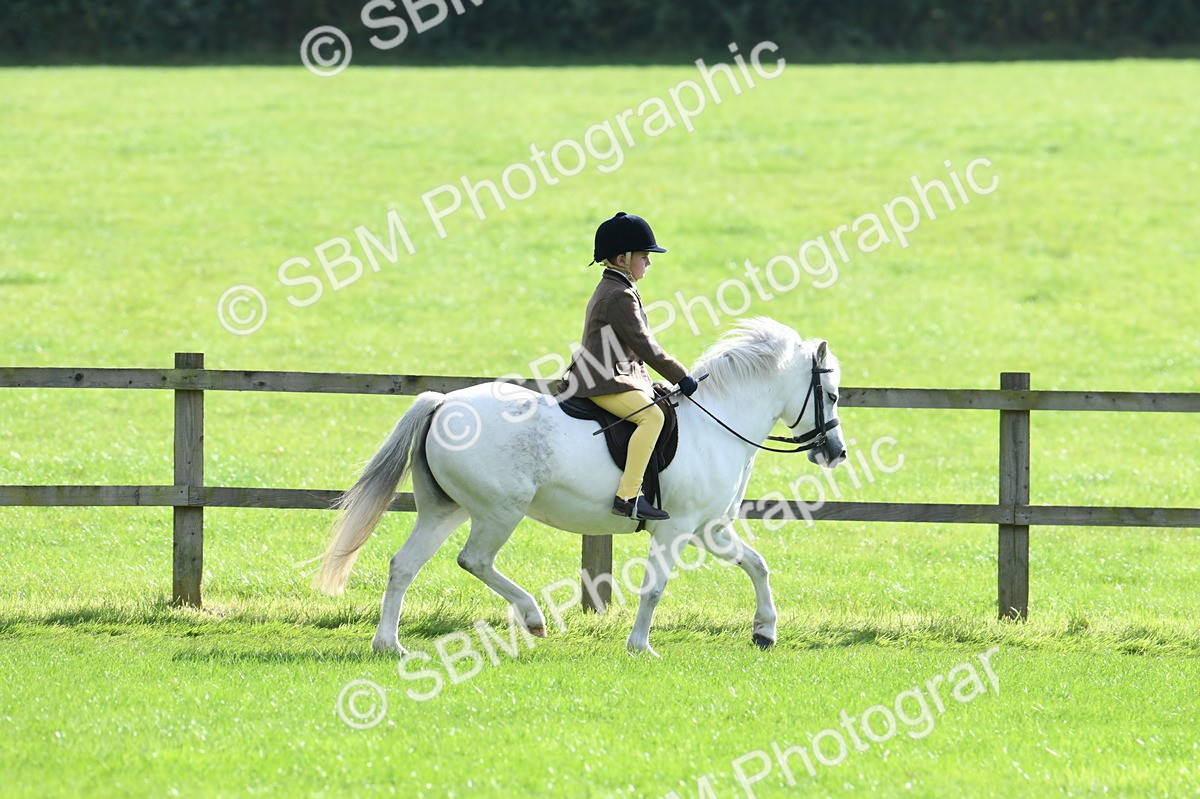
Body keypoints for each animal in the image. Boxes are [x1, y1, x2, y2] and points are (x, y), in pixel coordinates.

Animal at [314, 317, 847, 656]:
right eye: (833, 393)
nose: (835, 452)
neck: (717, 424)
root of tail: (443, 403)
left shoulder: (709, 528)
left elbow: (757, 565)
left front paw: (765, 633)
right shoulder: (675, 529)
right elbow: (655, 587)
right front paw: (640, 647)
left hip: (444, 510)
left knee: (404, 565)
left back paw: (389, 644)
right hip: (499, 511)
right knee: (474, 560)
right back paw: (532, 617)